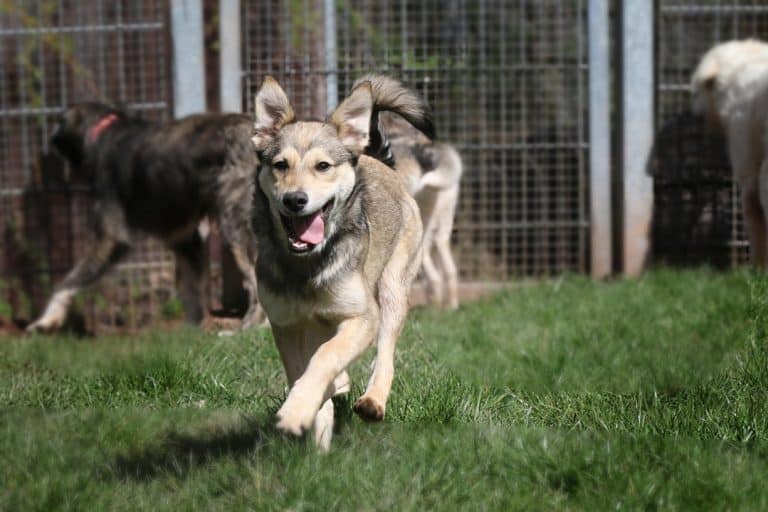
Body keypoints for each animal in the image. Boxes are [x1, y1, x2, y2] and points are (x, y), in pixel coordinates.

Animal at [26, 103, 266, 332]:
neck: (104, 131)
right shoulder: (186, 242)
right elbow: (191, 293)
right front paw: (192, 331)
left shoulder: (113, 238)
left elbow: (68, 281)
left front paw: (46, 320)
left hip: (234, 225)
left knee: (255, 281)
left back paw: (249, 326)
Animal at [250, 75, 433, 450]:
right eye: (280, 165)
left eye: (323, 166)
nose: (295, 200)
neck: (307, 264)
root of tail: (379, 162)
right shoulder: (285, 323)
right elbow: (300, 370)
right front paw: (309, 416)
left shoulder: (362, 317)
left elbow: (325, 358)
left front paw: (297, 411)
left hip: (393, 287)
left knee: (385, 353)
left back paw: (372, 401)